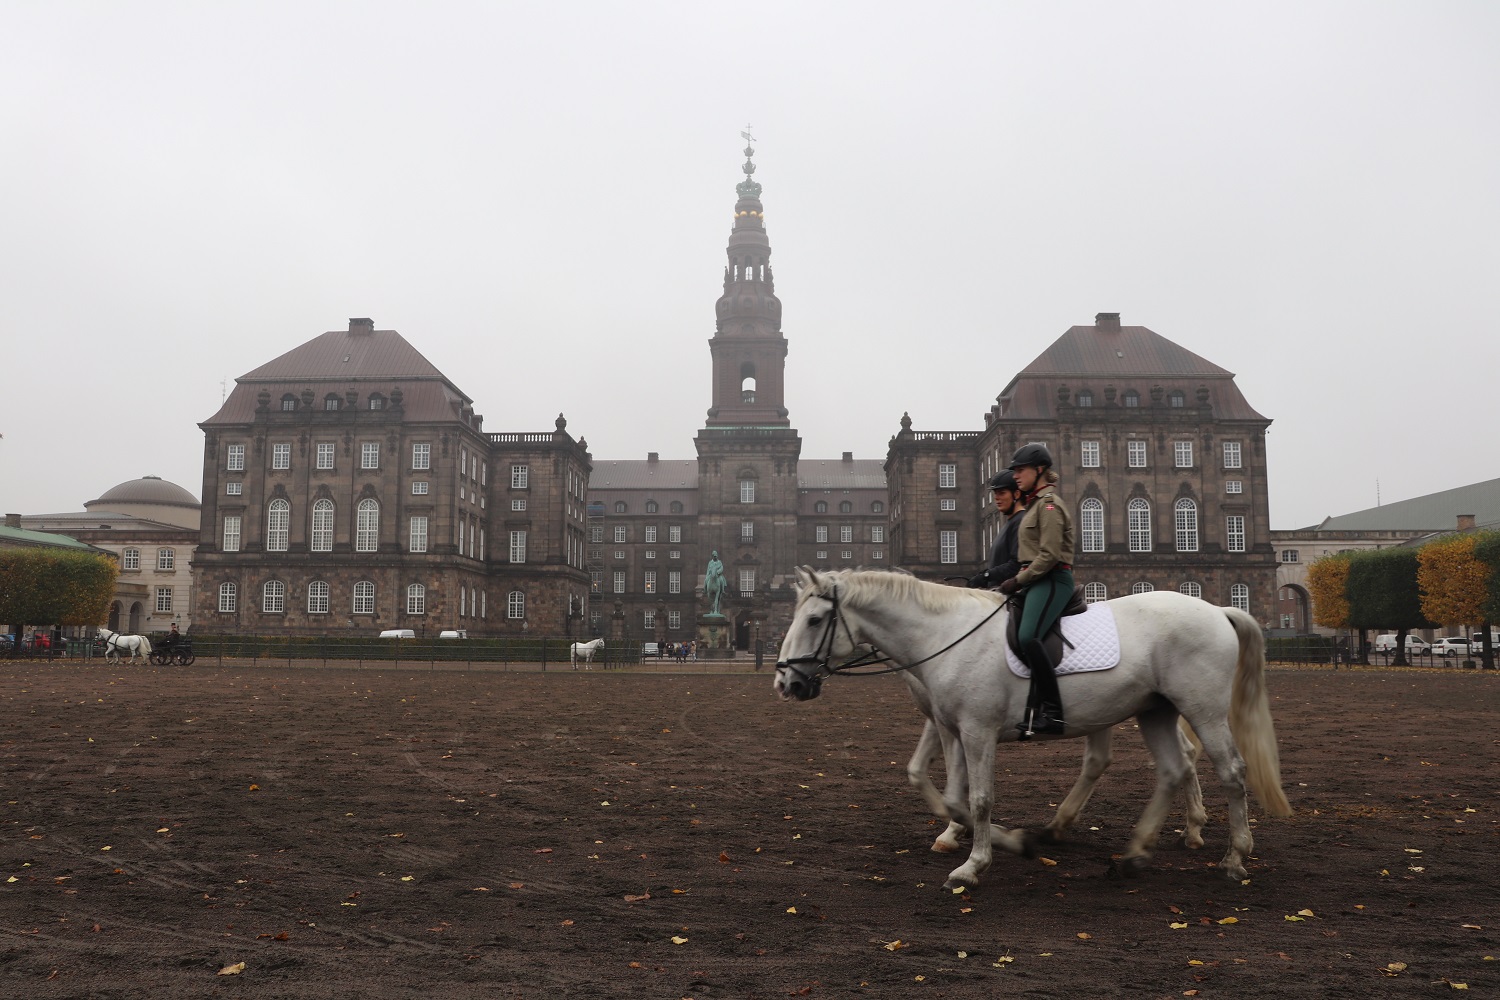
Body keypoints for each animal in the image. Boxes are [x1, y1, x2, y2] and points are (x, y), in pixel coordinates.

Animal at [774, 569, 1290, 893]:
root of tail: (1218, 609)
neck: (944, 636)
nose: (786, 682)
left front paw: (972, 866)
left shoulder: (976, 731)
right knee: (1172, 769)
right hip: (1154, 712)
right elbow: (947, 792)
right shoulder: (950, 728)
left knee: (1231, 771)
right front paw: (996, 841)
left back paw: (1234, 857)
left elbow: (977, 800)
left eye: (815, 619)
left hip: (1201, 710)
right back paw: (1137, 852)